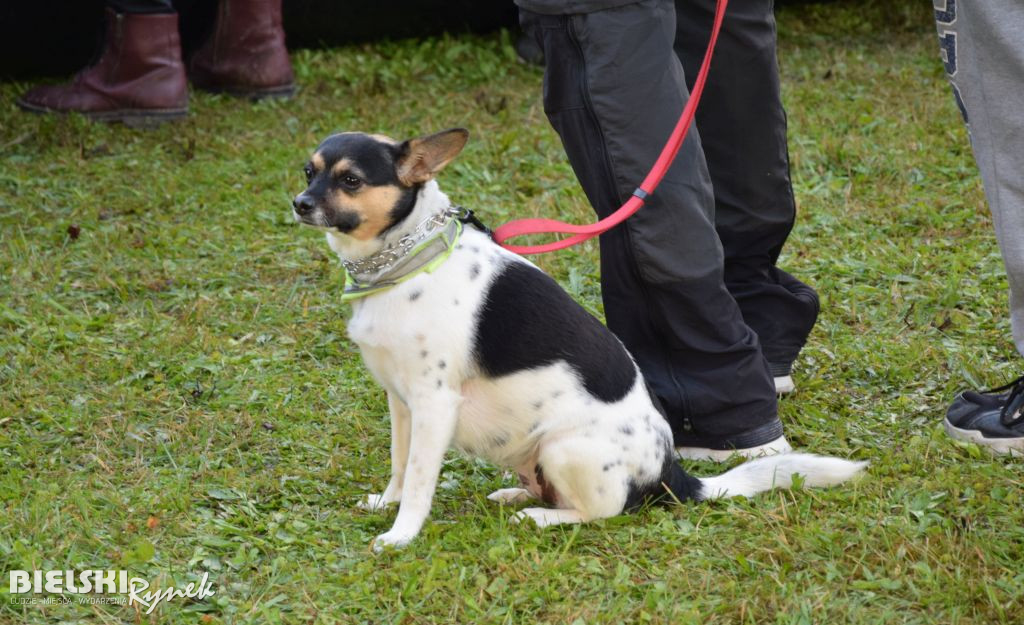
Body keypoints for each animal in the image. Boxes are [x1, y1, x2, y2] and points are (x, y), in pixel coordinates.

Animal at [290, 129, 864, 549]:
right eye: (309, 171)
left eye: (351, 179)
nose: (299, 203)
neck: (405, 259)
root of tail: (670, 472)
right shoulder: (401, 401)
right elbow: (399, 465)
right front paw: (385, 506)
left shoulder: (435, 403)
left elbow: (418, 480)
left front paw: (401, 534)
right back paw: (516, 497)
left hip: (563, 447)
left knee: (603, 512)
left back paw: (540, 518)